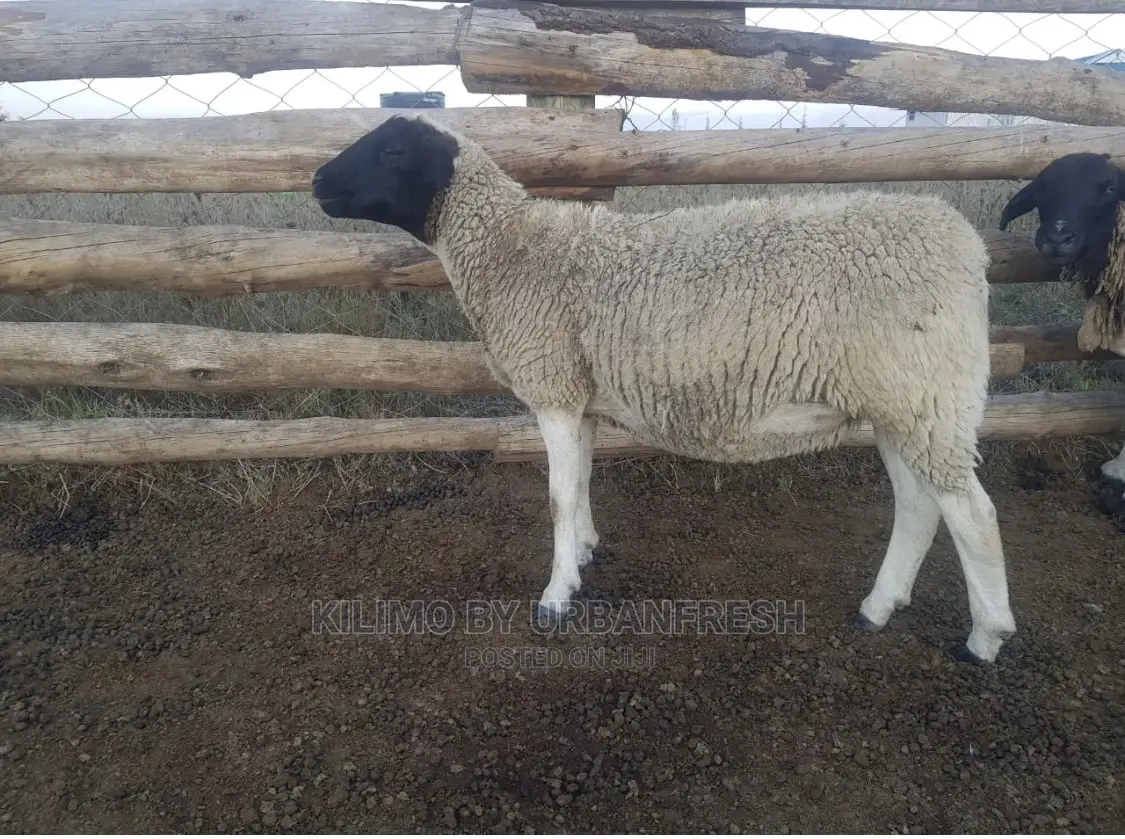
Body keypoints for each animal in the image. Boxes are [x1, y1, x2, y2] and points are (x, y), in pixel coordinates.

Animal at [311, 114, 1017, 664]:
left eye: (393, 152)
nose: (317, 182)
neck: (509, 250)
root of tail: (966, 245)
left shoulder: (553, 385)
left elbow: (558, 497)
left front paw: (556, 597)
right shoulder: (580, 392)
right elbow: (581, 484)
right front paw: (585, 554)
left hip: (928, 392)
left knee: (973, 514)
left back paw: (985, 638)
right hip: (903, 401)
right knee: (919, 505)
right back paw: (878, 607)